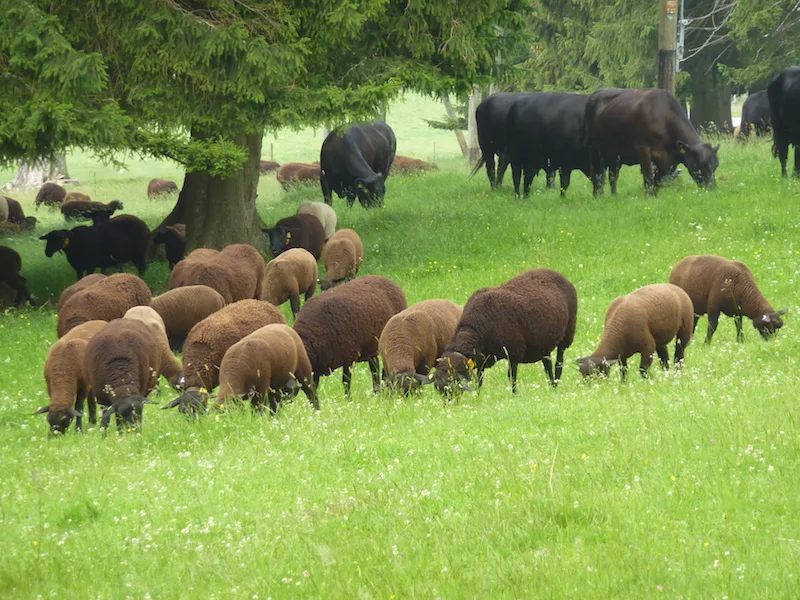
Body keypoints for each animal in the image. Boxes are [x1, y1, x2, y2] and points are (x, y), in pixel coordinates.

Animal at [433, 269, 577, 395]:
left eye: (455, 381)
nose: (450, 404)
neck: (475, 329)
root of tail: (556, 272)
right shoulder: (481, 359)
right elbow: (479, 379)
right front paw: (478, 396)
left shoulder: (514, 352)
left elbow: (511, 377)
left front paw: (514, 396)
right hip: (543, 340)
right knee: (547, 364)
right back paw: (552, 385)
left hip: (567, 334)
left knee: (559, 362)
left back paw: (555, 384)